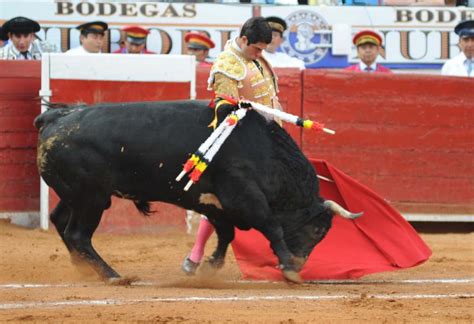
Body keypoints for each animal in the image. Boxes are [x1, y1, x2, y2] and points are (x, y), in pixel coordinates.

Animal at [35, 99, 362, 284]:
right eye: (318, 230)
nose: (301, 262)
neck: (264, 151)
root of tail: (55, 118)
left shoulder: (213, 203)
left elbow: (226, 233)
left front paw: (209, 267)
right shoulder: (244, 197)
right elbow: (271, 226)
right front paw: (289, 270)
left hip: (76, 197)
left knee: (60, 221)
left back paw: (84, 268)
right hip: (91, 199)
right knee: (78, 234)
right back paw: (113, 276)